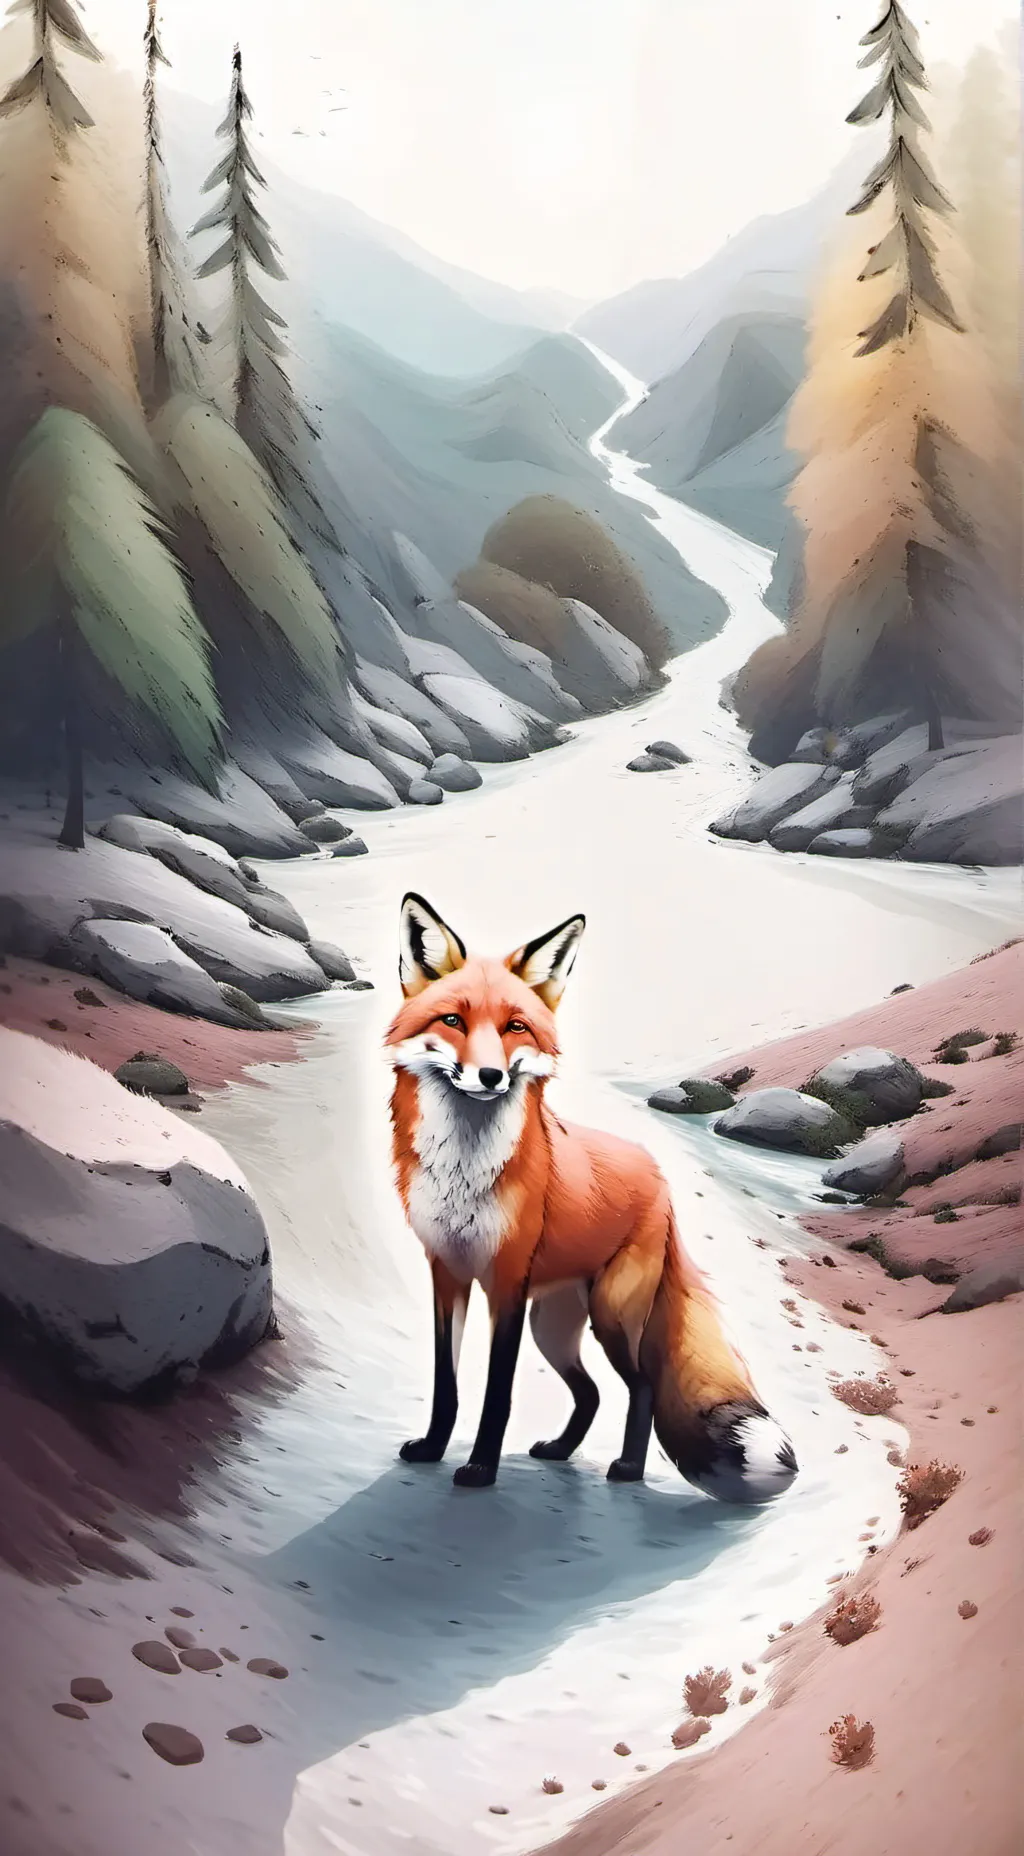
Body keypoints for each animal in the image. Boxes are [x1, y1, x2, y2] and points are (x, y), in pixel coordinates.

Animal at [385, 892, 798, 1500]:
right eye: (453, 1021)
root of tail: (659, 1175)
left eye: (515, 1027)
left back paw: (627, 1468)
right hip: (553, 1326)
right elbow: (447, 1386)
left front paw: (481, 1470)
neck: (464, 1173)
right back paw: (561, 1450)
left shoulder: (506, 1285)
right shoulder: (447, 1273)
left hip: (607, 1317)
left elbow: (497, 1395)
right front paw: (435, 1448)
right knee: (592, 1393)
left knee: (641, 1387)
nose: (490, 1076)